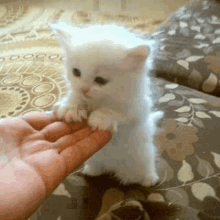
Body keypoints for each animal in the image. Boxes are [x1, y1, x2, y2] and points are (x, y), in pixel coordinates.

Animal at [50, 22, 162, 186]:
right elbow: (74, 96)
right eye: (76, 72)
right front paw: (71, 108)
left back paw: (149, 180)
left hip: (145, 157)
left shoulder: (138, 108)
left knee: (147, 169)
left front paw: (101, 117)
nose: (84, 89)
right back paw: (92, 171)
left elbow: (116, 110)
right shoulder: (77, 91)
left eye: (100, 80)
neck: (100, 100)